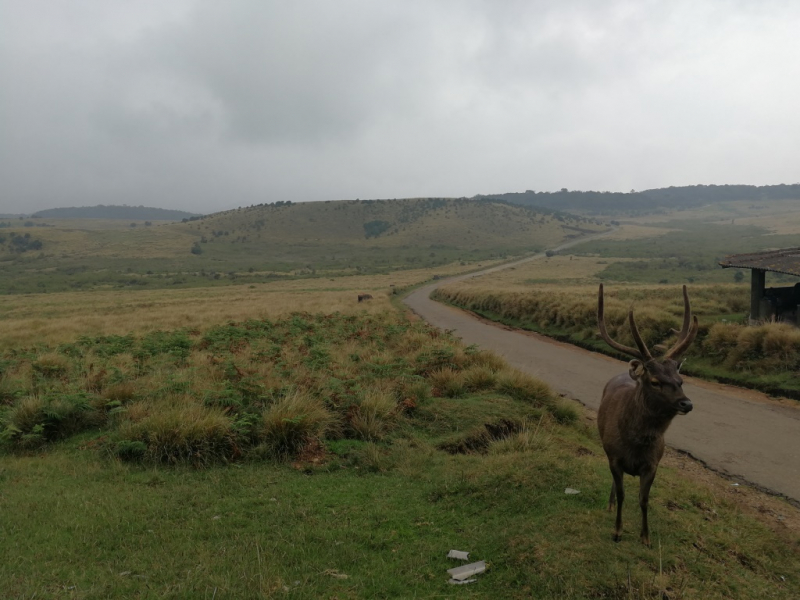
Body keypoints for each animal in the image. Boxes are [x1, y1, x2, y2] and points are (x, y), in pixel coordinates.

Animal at [596, 284, 696, 548]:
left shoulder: (653, 463)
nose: (687, 403)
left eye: (681, 380)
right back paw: (609, 505)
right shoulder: (615, 457)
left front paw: (646, 537)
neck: (637, 445)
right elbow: (623, 494)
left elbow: (644, 500)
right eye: (655, 381)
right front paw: (617, 531)